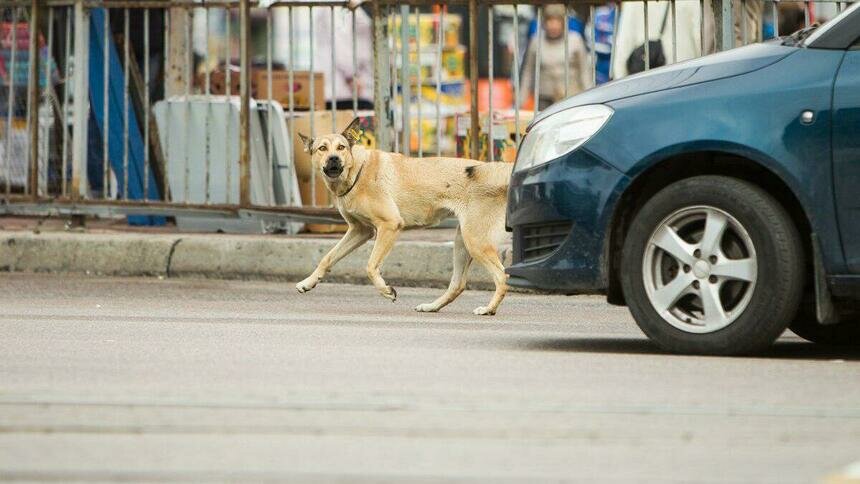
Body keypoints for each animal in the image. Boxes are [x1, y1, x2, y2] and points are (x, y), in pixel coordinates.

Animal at [296, 116, 510, 314]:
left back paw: (489, 309)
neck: (357, 171)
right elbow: (328, 258)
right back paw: (432, 307)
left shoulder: (389, 225)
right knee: (458, 284)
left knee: (501, 277)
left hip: (475, 242)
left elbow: (371, 266)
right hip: (462, 243)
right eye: (322, 148)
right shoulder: (360, 231)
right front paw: (308, 282)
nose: (334, 159)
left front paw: (386, 290)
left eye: (341, 147)